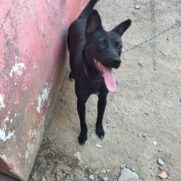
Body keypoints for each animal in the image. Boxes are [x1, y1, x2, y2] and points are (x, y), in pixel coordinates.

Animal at [67, 0, 131, 144]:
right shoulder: (81, 102)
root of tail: (83, 18)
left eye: (120, 46)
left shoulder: (103, 99)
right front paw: (83, 135)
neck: (94, 77)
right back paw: (72, 74)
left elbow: (100, 117)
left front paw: (99, 130)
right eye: (101, 43)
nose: (117, 61)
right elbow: (83, 122)